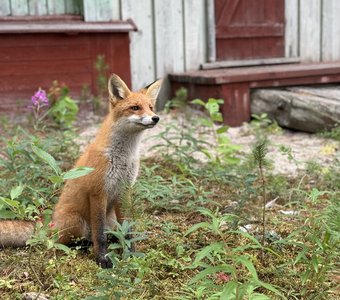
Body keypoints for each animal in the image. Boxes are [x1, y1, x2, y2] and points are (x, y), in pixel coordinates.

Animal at [0, 74, 163, 268]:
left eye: (151, 107)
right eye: (135, 108)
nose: (156, 118)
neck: (123, 156)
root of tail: (50, 223)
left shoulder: (125, 191)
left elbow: (128, 230)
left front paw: (130, 253)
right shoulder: (98, 192)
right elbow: (99, 235)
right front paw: (102, 259)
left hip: (110, 219)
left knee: (110, 233)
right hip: (77, 221)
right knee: (62, 241)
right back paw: (84, 245)